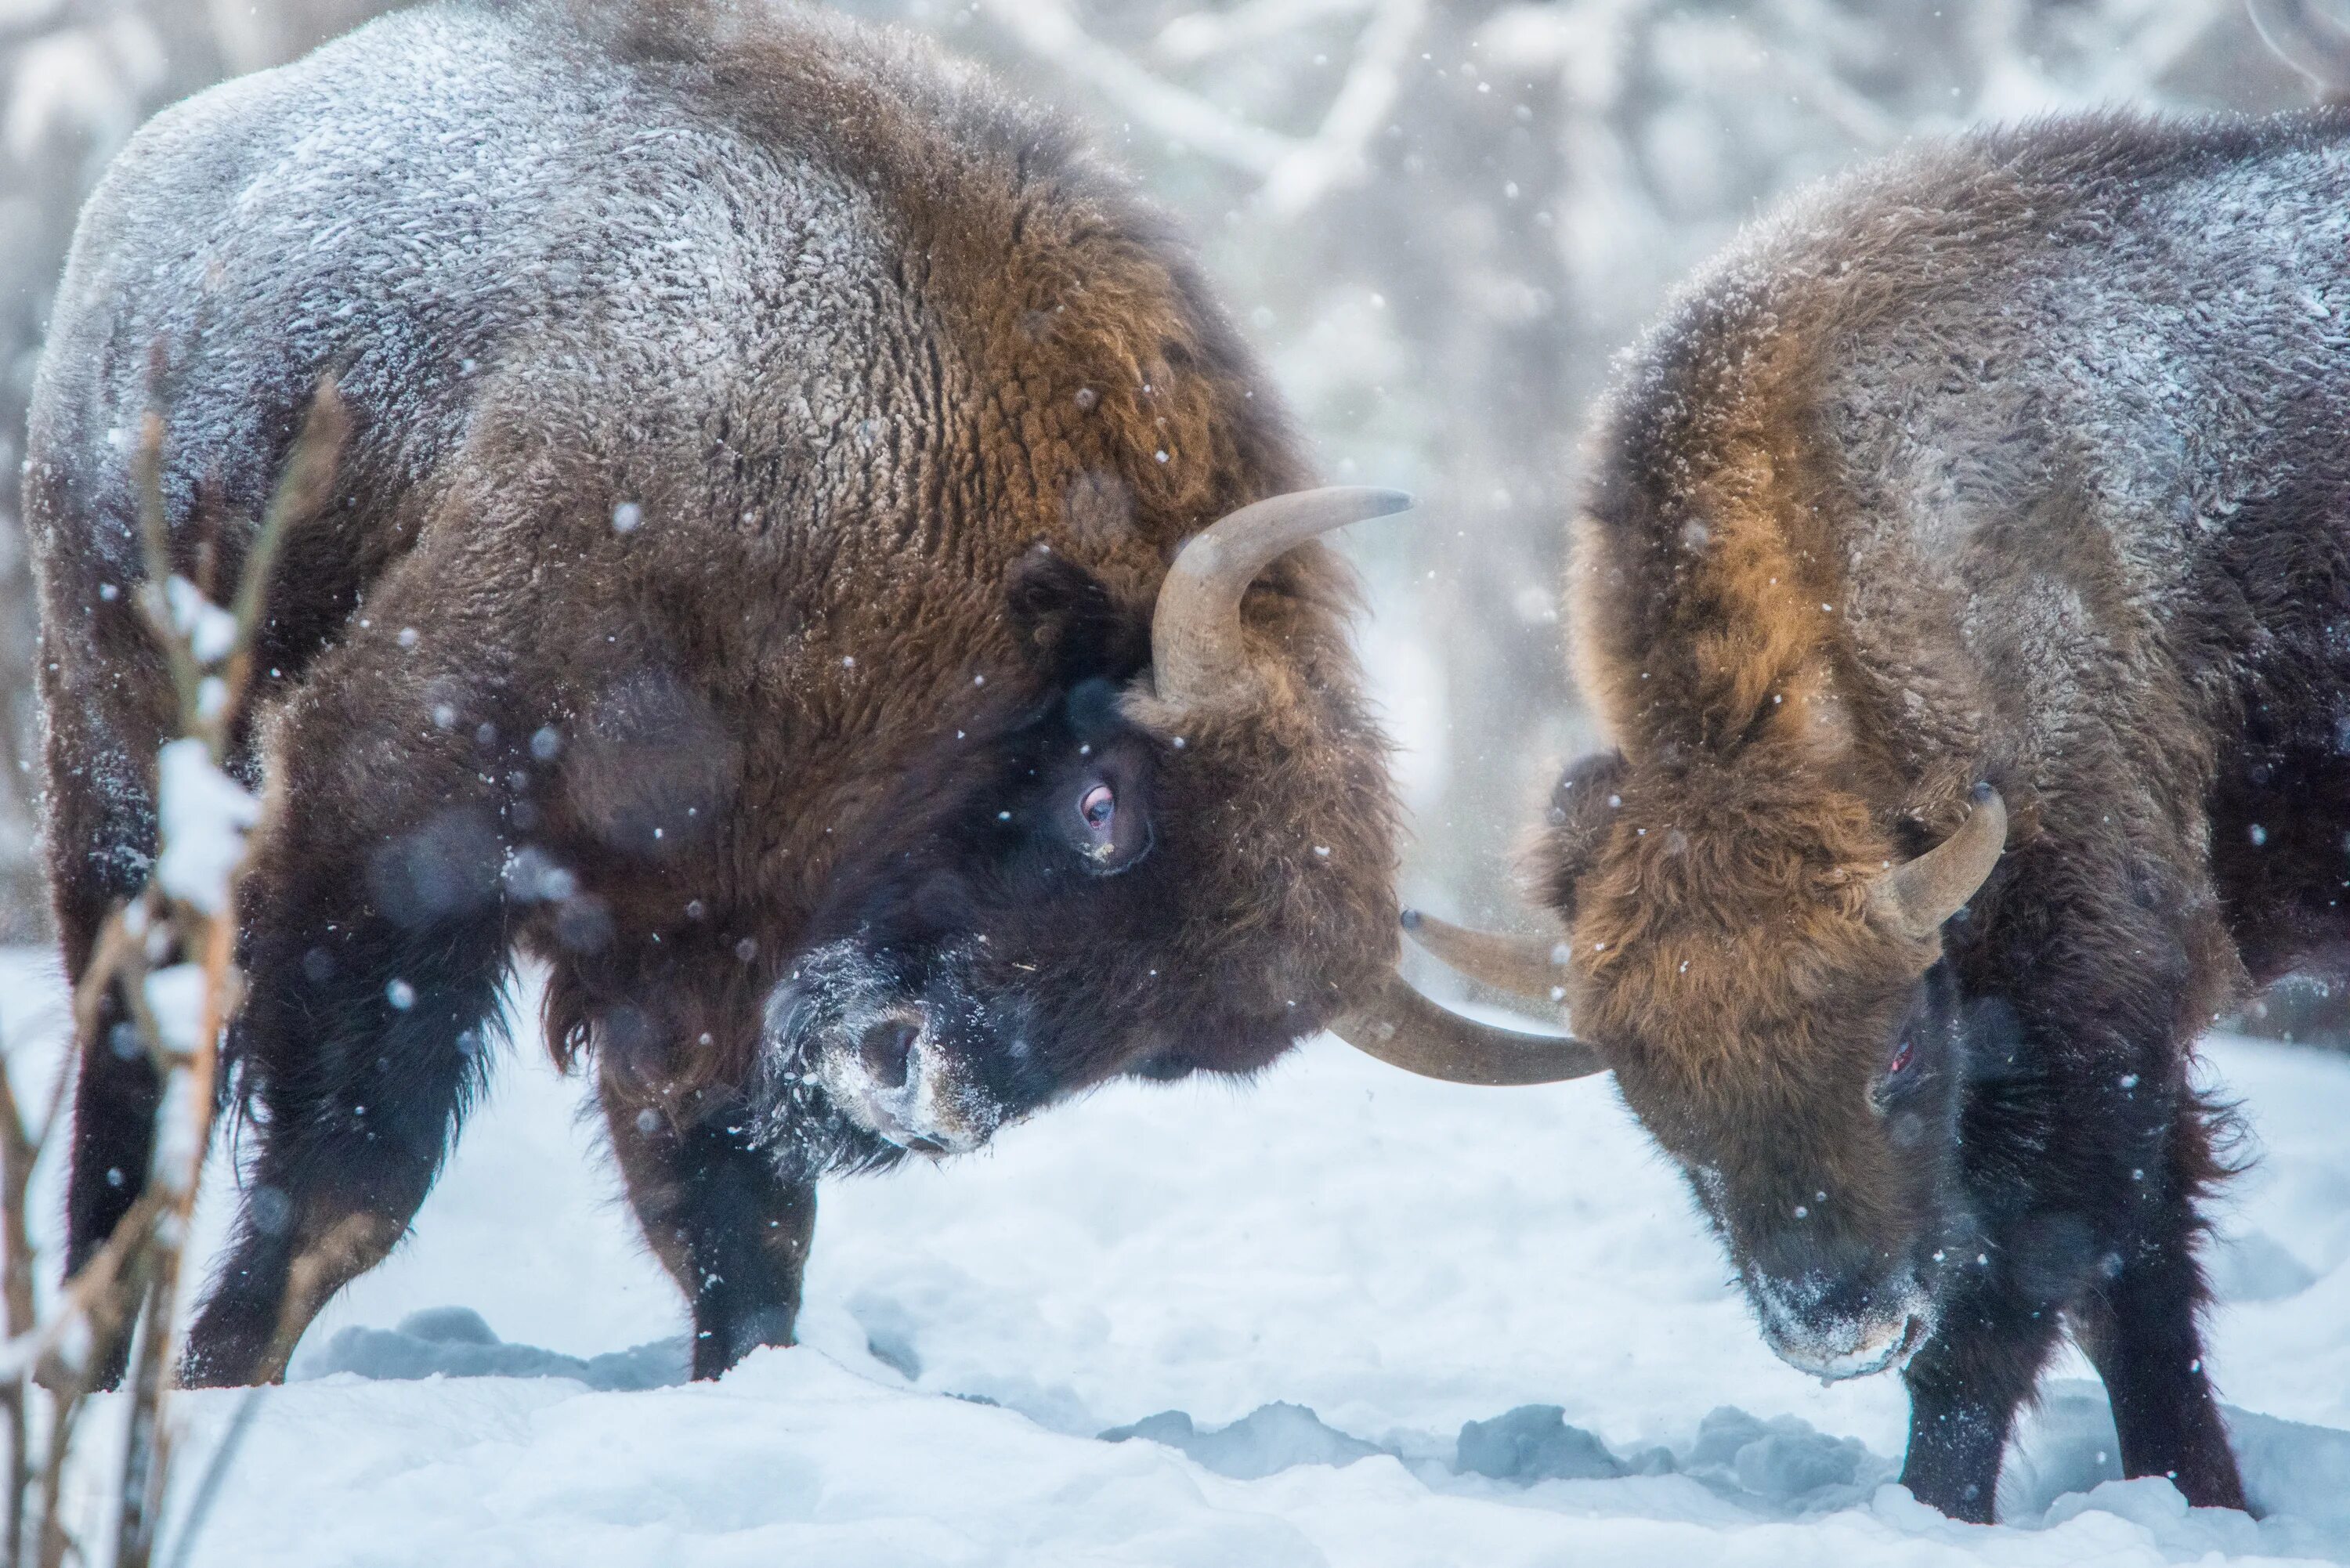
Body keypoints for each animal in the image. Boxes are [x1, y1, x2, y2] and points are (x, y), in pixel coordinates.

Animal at [27, 0, 1466, 1391]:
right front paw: (221, 1379)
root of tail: (146, 186)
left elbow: (743, 1242)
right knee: (126, 1089)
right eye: (1104, 804)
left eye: (1176, 1045)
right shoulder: (383, 809)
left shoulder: (699, 981)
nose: (915, 1085)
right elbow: (345, 1186)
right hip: (121, 765)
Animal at [1382, 85, 2350, 1523]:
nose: (1836, 1325)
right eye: (1652, 1098)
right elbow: (2136, 1299)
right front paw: (2201, 1494)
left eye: (1896, 1049)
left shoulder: (2095, 1021)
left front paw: (1941, 1507)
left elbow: (2014, 1310)